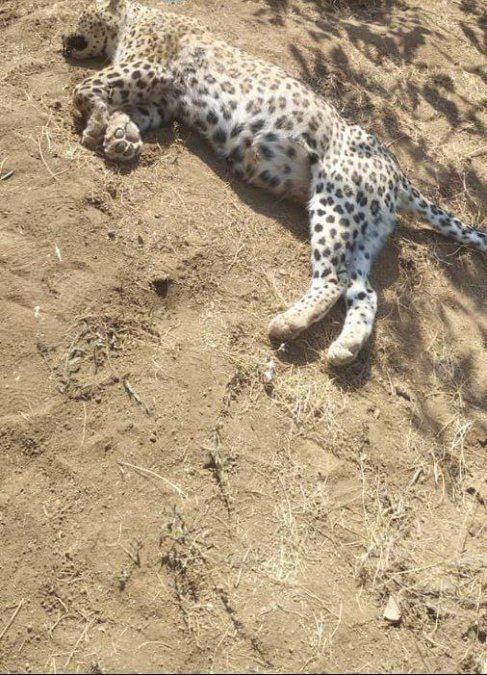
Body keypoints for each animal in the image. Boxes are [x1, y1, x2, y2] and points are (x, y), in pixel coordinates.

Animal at [63, 0, 486, 366]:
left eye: (80, 15)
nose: (64, 40)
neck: (135, 16)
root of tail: (399, 175)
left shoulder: (150, 66)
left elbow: (85, 88)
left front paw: (97, 125)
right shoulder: (163, 98)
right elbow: (131, 110)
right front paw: (120, 136)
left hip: (337, 204)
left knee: (333, 279)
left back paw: (288, 323)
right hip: (365, 228)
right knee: (363, 291)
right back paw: (344, 349)